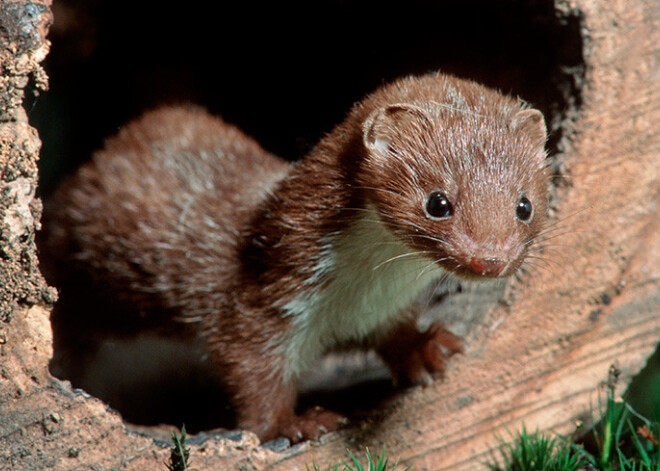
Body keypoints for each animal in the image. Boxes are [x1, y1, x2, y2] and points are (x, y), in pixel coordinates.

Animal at [43, 72, 552, 444]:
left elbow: (396, 332)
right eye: (438, 202)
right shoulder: (264, 295)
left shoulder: (379, 308)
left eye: (524, 205)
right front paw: (296, 424)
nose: (490, 260)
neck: (356, 293)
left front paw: (426, 350)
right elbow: (251, 367)